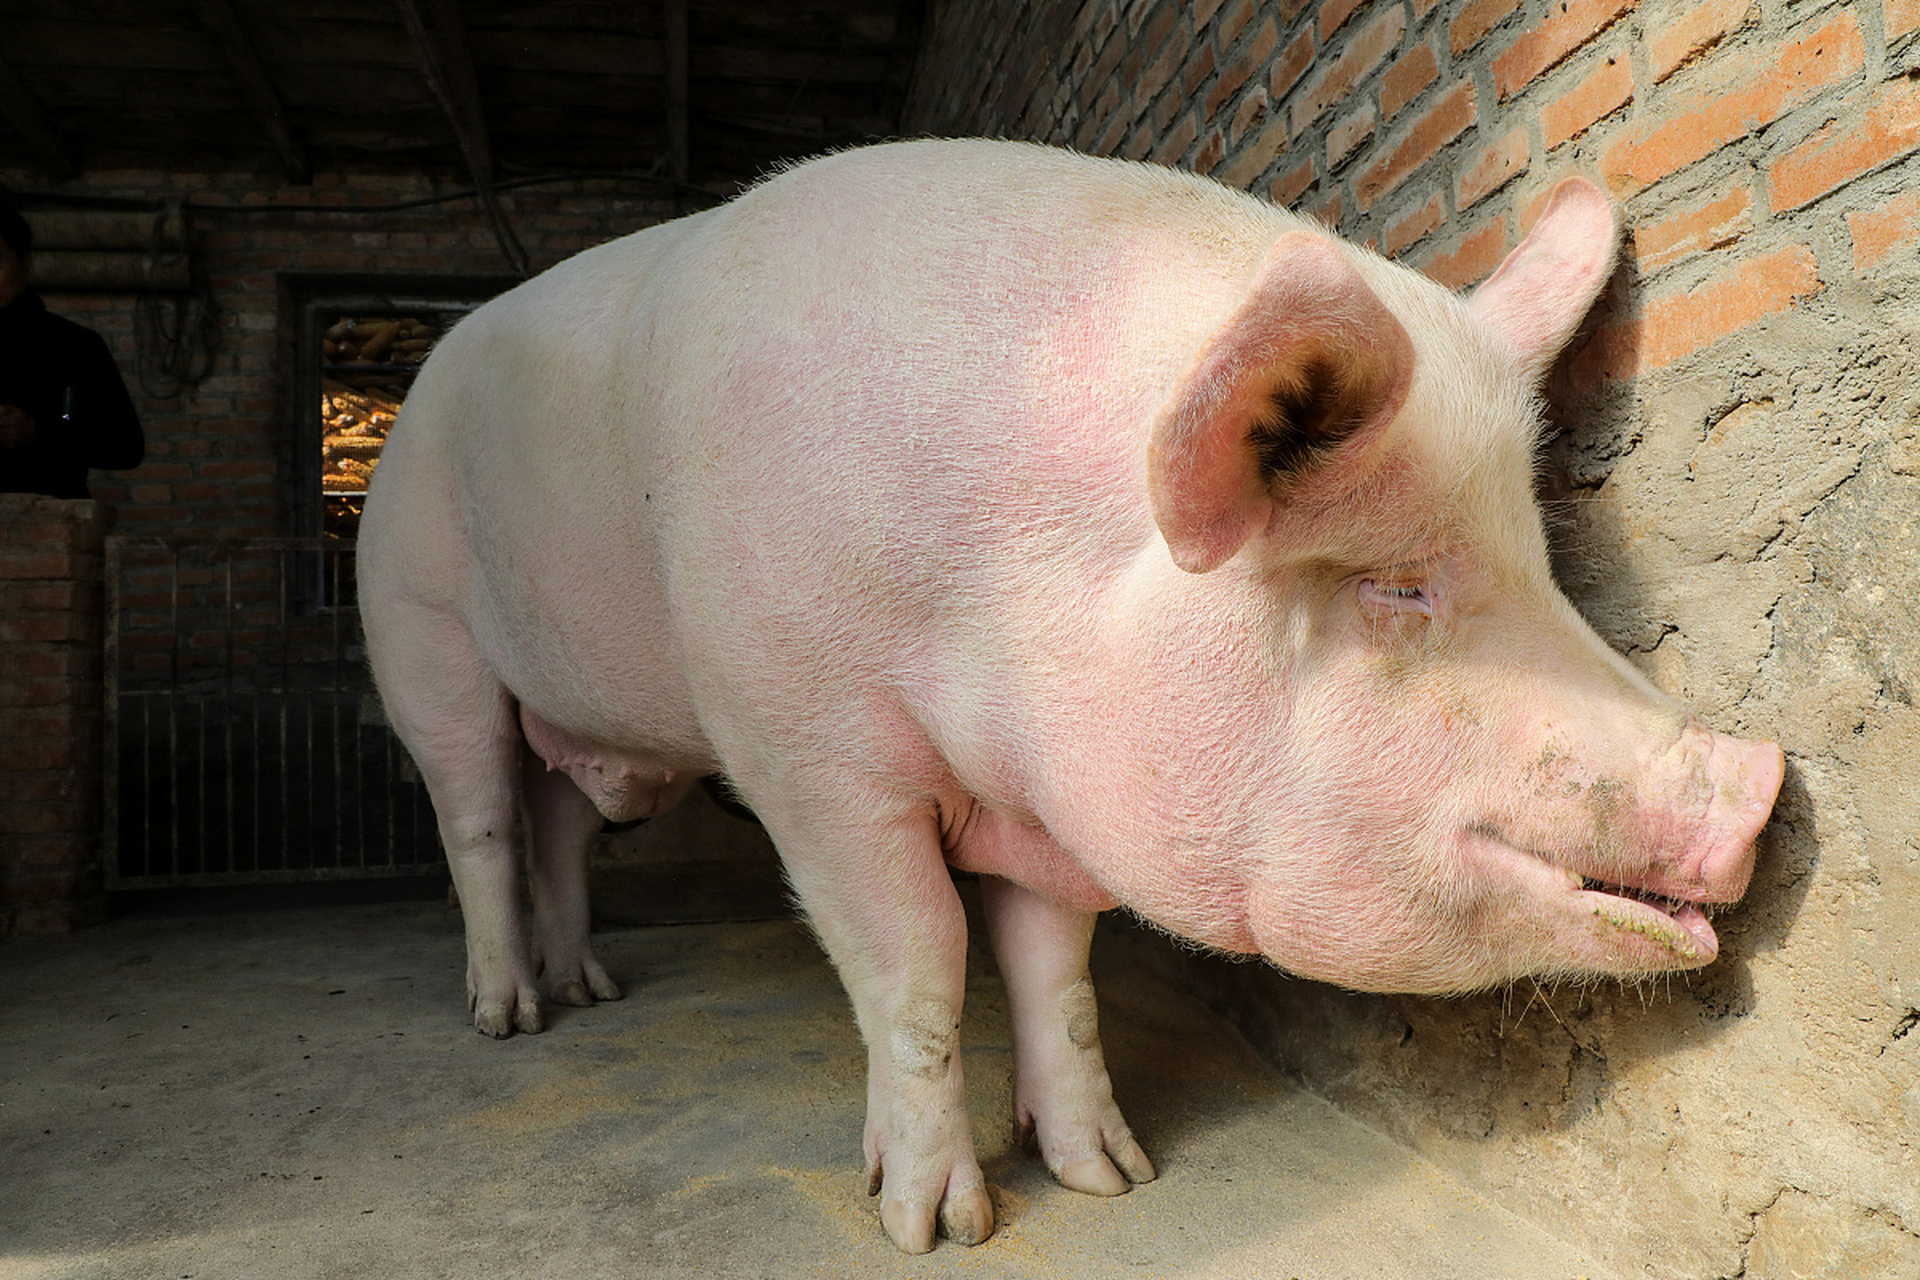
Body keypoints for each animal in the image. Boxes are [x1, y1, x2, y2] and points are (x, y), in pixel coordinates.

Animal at [357, 138, 1781, 1251]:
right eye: (1399, 587)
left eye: (1543, 559)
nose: (1762, 784)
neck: (1000, 604)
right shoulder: (805, 747)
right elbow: (919, 965)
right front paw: (938, 1225)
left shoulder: (1053, 797)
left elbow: (1059, 971)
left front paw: (1112, 1177)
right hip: (420, 629)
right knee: (478, 816)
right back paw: (509, 1021)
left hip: (577, 709)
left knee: (557, 816)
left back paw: (588, 989)